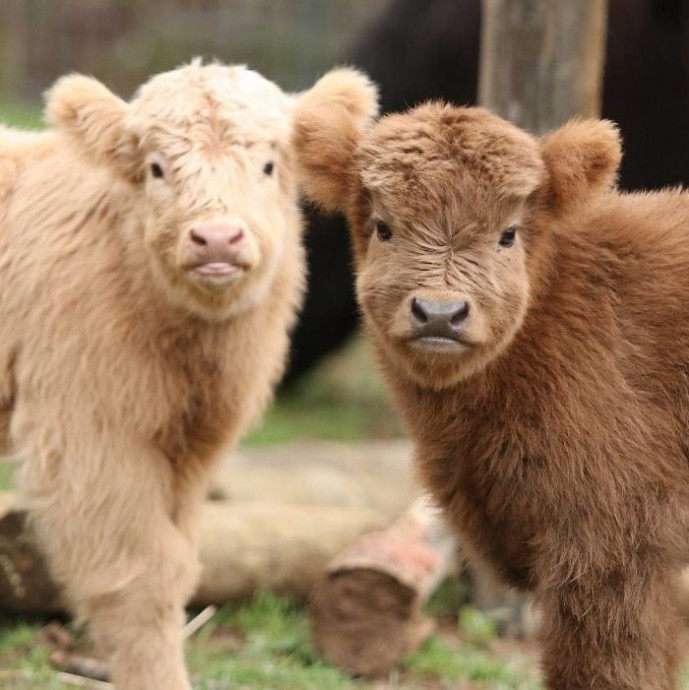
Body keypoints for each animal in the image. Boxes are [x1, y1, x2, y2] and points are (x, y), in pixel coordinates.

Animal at [0, 61, 376, 684]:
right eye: (156, 167)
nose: (217, 238)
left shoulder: (191, 446)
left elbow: (179, 565)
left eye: (269, 164)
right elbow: (141, 577)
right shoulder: (91, 433)